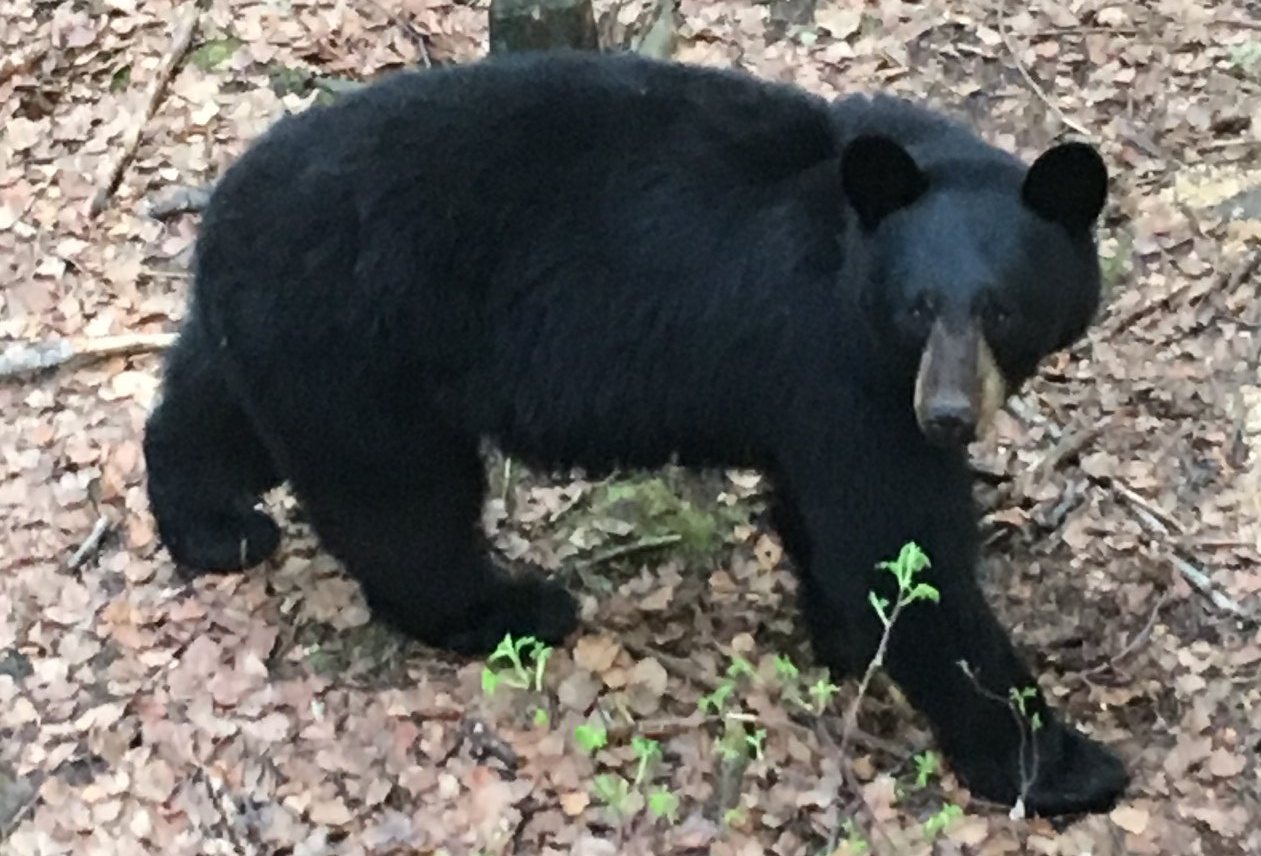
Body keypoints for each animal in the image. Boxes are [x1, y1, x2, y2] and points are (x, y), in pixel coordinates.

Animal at [142, 50, 1127, 817]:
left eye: (1000, 308)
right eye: (919, 305)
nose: (948, 415)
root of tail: (220, 211)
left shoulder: (820, 391)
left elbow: (828, 521)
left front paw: (842, 640)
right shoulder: (845, 367)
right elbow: (899, 549)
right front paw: (1061, 765)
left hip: (277, 341)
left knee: (211, 415)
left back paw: (213, 526)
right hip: (363, 344)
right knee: (402, 507)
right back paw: (512, 609)